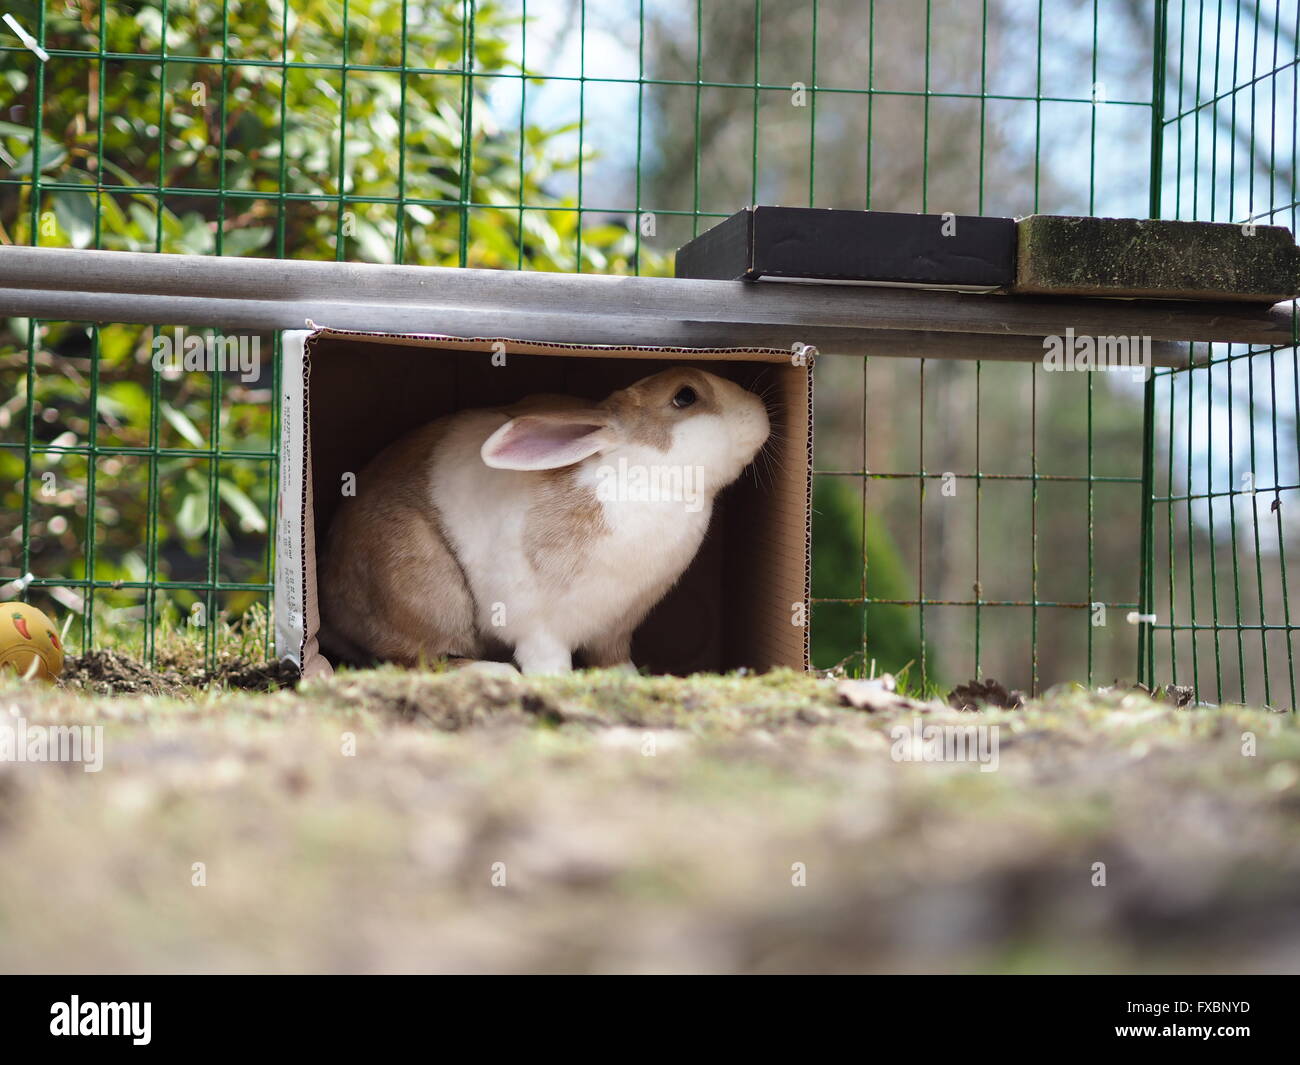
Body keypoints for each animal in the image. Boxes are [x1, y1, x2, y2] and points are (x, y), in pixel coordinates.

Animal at [321, 369, 769, 676]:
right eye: (685, 396)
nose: (761, 411)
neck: (642, 475)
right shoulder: (538, 625)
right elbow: (545, 658)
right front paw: (556, 681)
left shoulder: (615, 627)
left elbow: (613, 659)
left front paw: (631, 678)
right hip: (423, 590)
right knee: (419, 658)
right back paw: (495, 673)